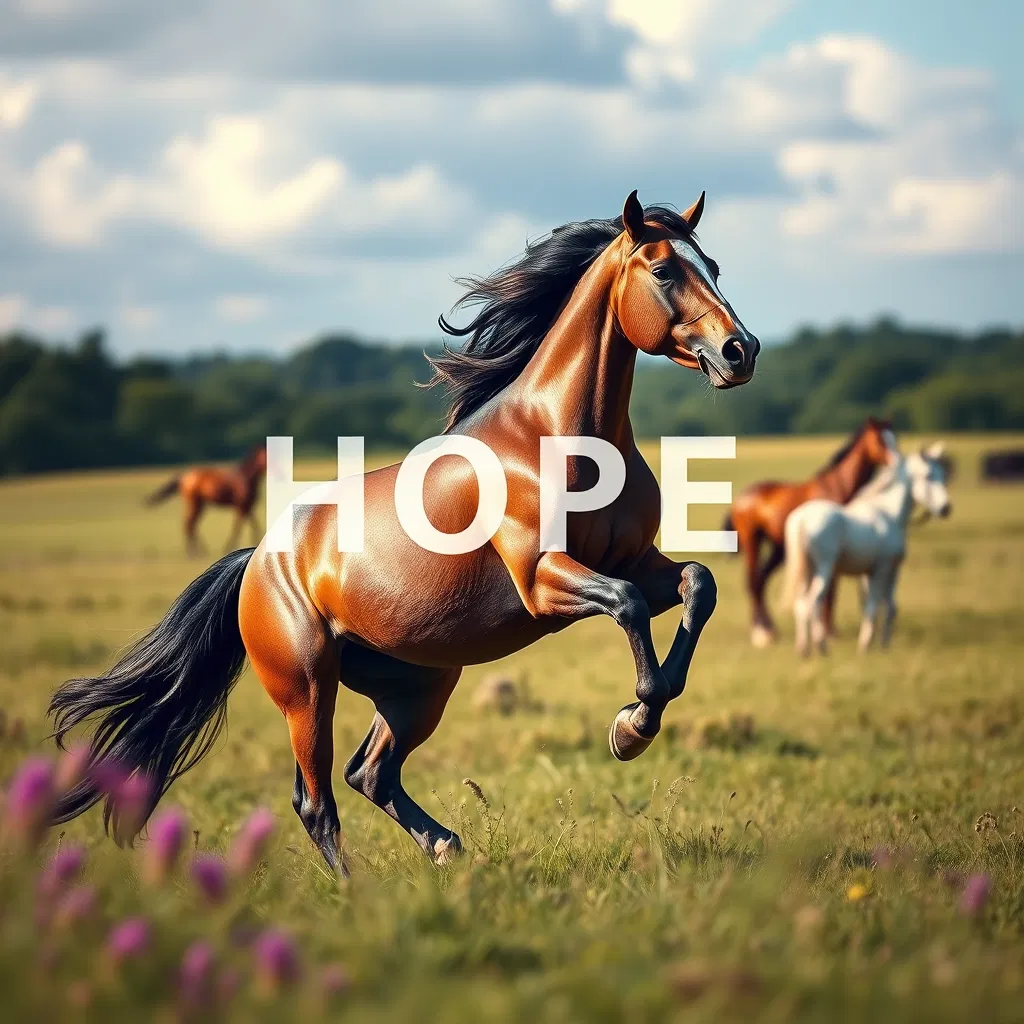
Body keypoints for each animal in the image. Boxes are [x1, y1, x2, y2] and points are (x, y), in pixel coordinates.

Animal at [48, 191, 759, 874]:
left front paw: (642, 715)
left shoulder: (635, 558)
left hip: (418, 684)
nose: (741, 350)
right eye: (664, 270)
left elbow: (698, 585)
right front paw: (633, 725)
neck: (555, 436)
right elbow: (629, 605)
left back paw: (445, 848)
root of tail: (257, 561)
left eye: (714, 267)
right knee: (316, 800)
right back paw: (359, 894)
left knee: (371, 773)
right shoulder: (543, 579)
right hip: (307, 690)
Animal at [725, 418, 897, 647]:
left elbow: (832, 592)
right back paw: (761, 633)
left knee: (760, 581)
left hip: (778, 549)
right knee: (752, 581)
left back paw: (770, 629)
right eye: (879, 439)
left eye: (894, 436)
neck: (838, 489)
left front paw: (829, 630)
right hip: (753, 540)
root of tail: (740, 499)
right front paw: (828, 631)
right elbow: (829, 593)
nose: (895, 461)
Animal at [785, 443, 950, 656]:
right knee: (812, 602)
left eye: (943, 475)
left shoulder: (871, 573)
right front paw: (867, 645)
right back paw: (821, 646)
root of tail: (802, 519)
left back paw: (804, 649)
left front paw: (879, 643)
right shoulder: (885, 568)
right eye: (928, 475)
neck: (889, 514)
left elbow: (879, 607)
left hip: (807, 571)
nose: (946, 508)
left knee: (801, 603)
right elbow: (879, 606)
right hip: (824, 569)